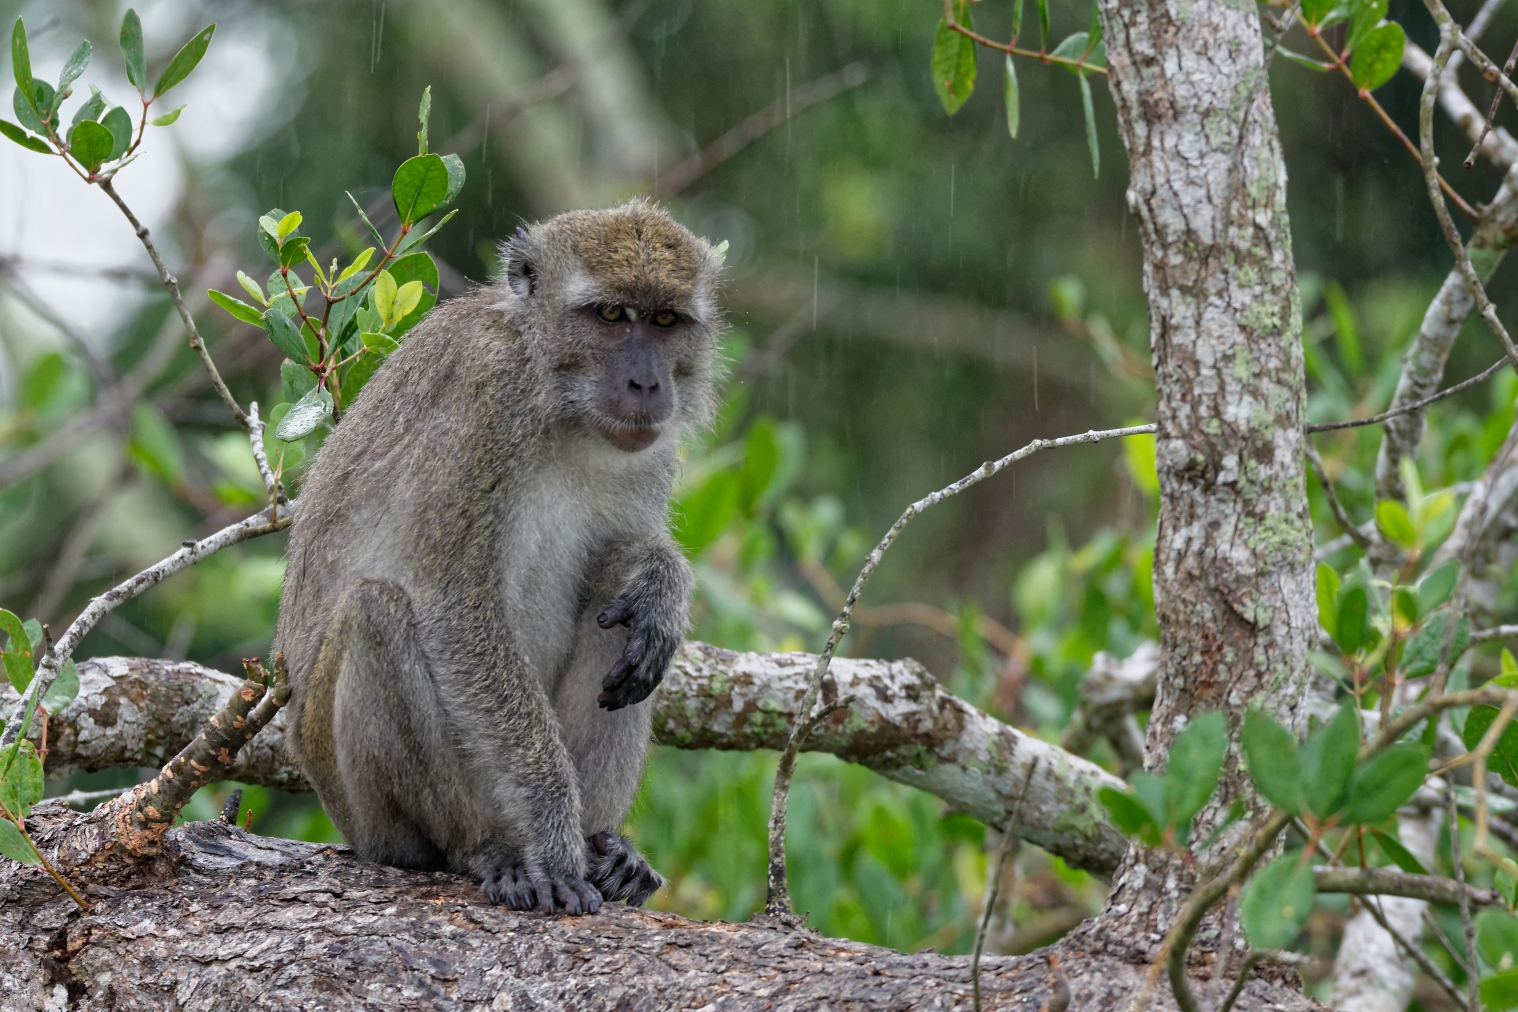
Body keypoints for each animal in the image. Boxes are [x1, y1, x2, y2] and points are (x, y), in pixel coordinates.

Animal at [272, 200, 722, 914]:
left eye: (664, 321)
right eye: (611, 315)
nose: (647, 382)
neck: (559, 400)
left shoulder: (651, 450)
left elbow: (620, 558)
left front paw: (663, 580)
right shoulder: (483, 399)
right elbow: (458, 611)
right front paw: (553, 839)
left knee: (614, 607)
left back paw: (607, 849)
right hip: (354, 794)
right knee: (378, 612)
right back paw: (487, 850)